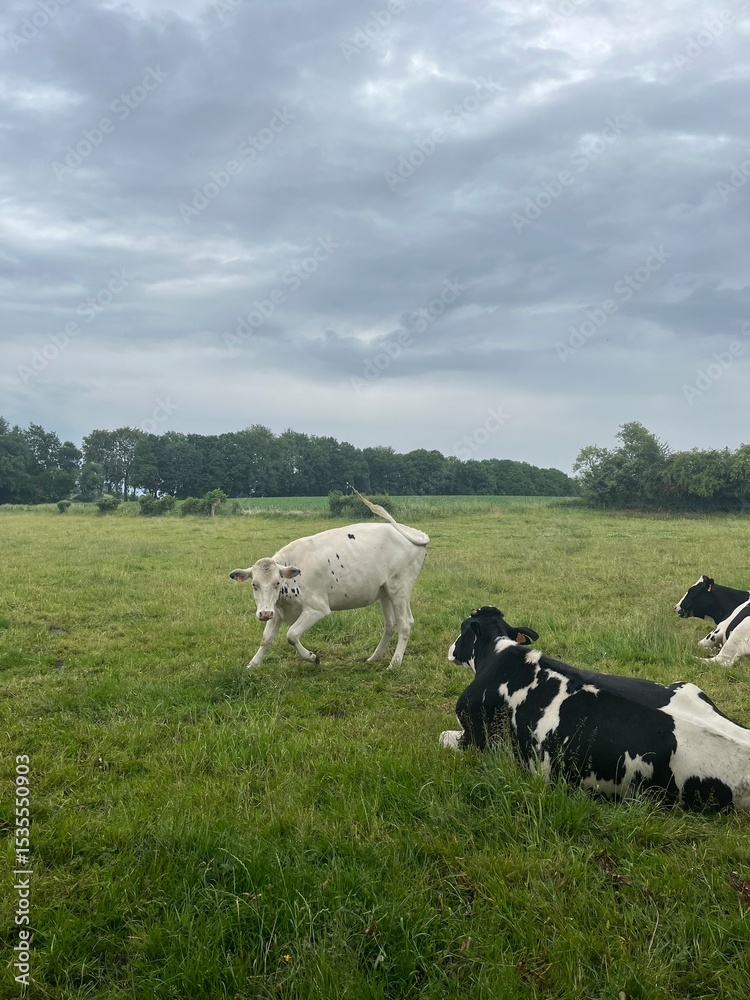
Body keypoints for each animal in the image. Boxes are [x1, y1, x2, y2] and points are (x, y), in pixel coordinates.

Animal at [229, 493, 429, 669]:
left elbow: (291, 635)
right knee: (391, 624)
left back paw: (394, 663)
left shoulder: (317, 608)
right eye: (254, 585)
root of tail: (413, 532)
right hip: (385, 591)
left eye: (277, 583)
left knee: (404, 624)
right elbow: (266, 639)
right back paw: (375, 657)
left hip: (399, 588)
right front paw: (252, 666)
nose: (264, 614)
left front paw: (312, 657)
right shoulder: (276, 610)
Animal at [440, 606, 750, 811]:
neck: (497, 655)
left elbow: (442, 737)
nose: (450, 649)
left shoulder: (474, 739)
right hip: (687, 687)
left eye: (462, 627)